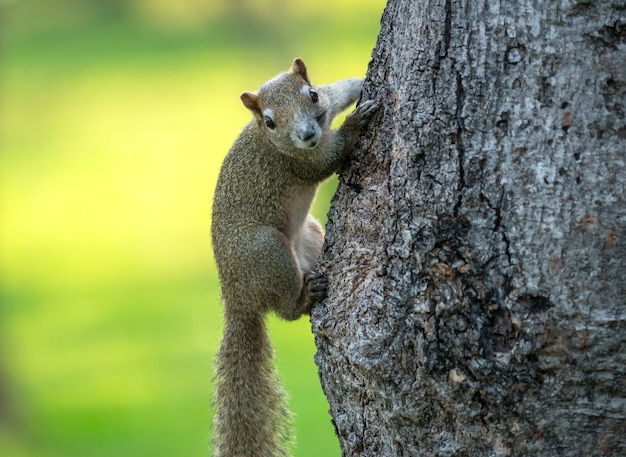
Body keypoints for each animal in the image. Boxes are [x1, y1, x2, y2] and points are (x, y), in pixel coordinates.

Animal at [210, 58, 376, 456]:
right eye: (270, 121)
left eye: (311, 94)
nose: (306, 133)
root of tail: (236, 297)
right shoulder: (297, 163)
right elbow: (326, 160)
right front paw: (354, 124)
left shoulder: (327, 102)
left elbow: (341, 89)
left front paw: (361, 81)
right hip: (268, 252)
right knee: (286, 310)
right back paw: (305, 297)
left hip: (310, 236)